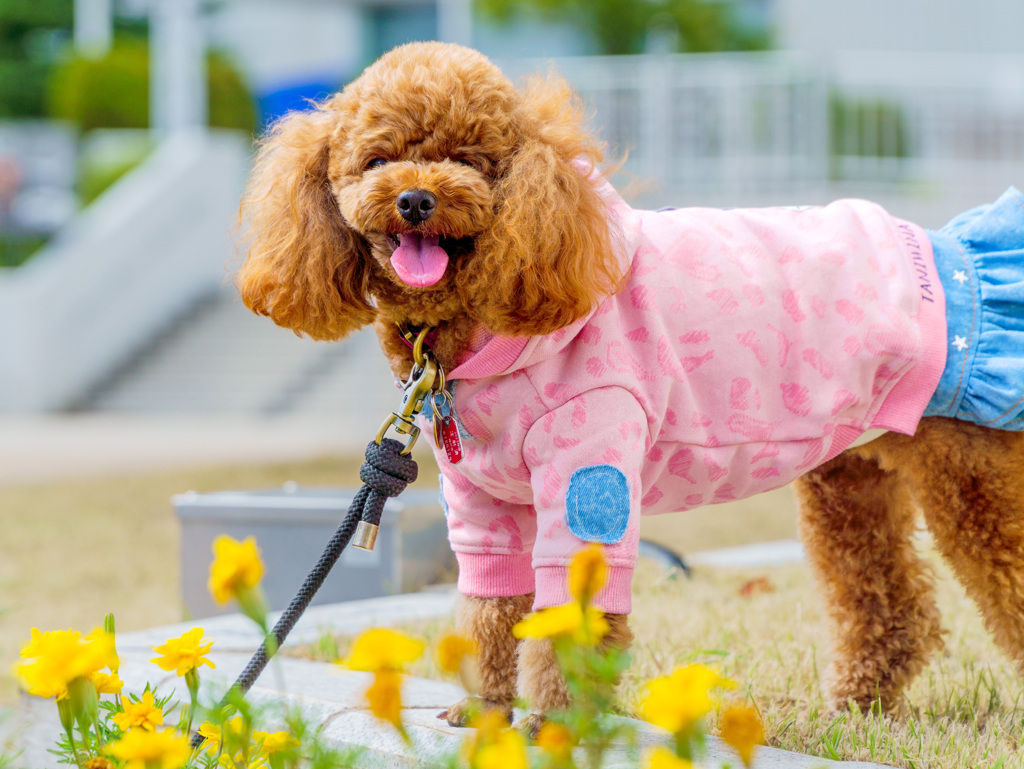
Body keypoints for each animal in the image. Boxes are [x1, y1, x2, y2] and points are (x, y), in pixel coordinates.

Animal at [235, 40, 1024, 729]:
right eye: (379, 160)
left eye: (469, 161)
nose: (416, 200)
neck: (479, 324)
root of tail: (954, 253)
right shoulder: (482, 498)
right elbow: (489, 607)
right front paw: (484, 708)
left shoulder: (588, 465)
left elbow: (571, 601)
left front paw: (556, 721)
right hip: (849, 479)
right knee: (889, 605)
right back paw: (859, 705)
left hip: (971, 478)